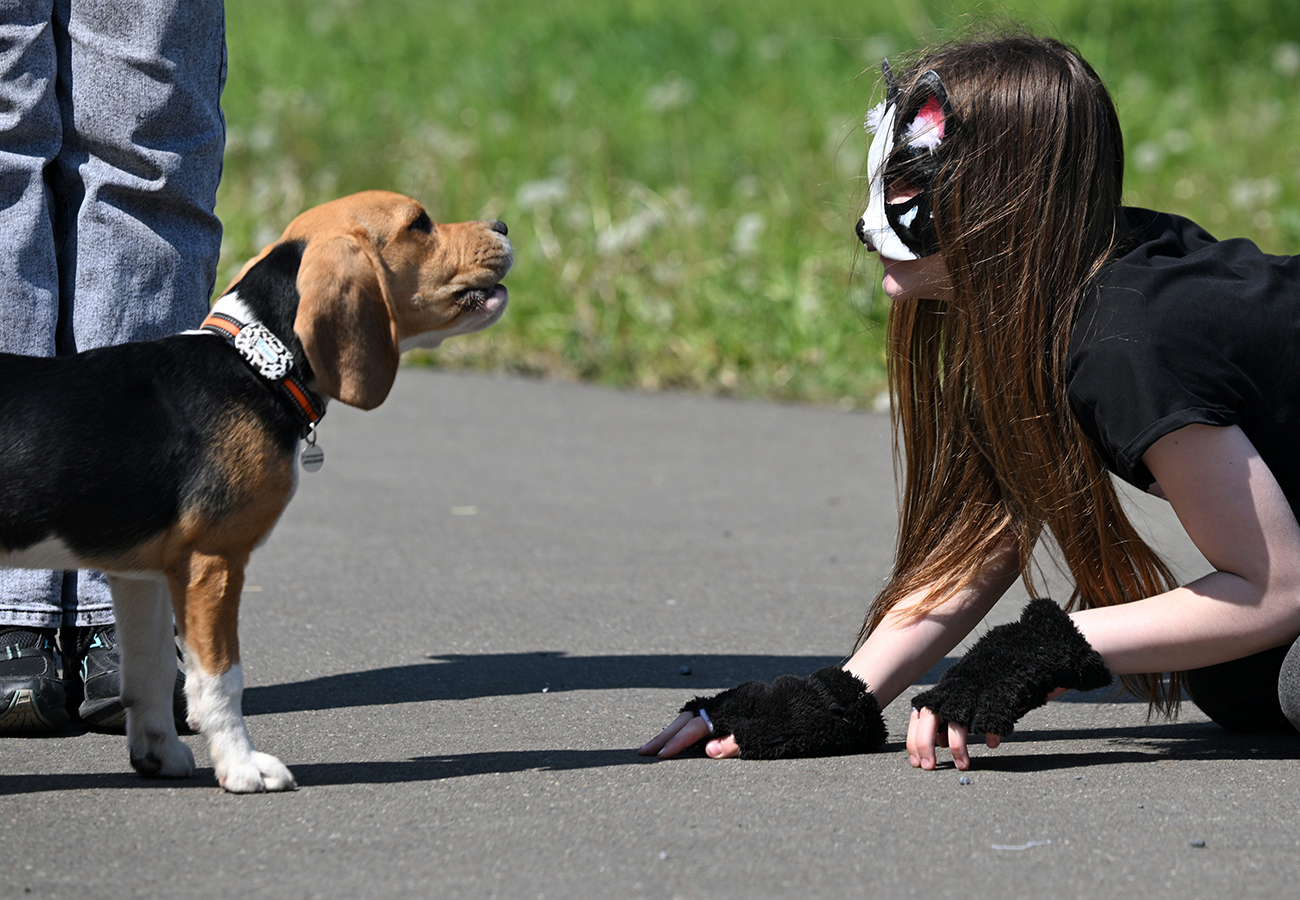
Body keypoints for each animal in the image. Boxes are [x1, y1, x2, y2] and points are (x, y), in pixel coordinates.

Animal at [0, 189, 512, 785]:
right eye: (419, 224)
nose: (502, 226)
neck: (255, 362)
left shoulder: (139, 575)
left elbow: (150, 673)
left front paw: (159, 754)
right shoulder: (213, 561)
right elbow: (221, 679)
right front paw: (243, 767)